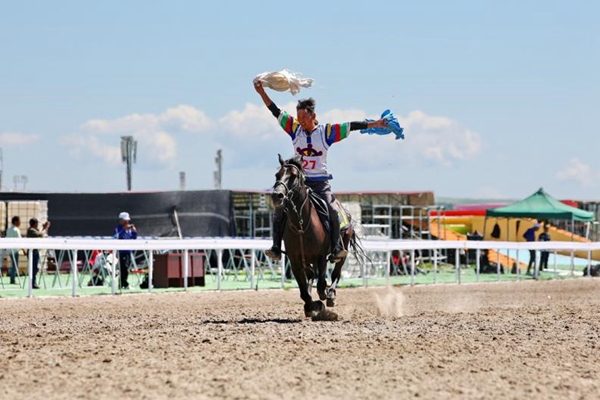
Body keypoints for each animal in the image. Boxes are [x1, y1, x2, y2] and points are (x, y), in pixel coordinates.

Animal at [270, 155, 360, 318]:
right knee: (312, 276)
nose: (277, 196)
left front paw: (322, 299)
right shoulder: (295, 260)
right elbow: (304, 291)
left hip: (343, 250)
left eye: (293, 176)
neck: (301, 225)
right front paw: (311, 306)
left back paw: (331, 295)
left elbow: (321, 284)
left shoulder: (321, 256)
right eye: (277, 175)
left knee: (336, 274)